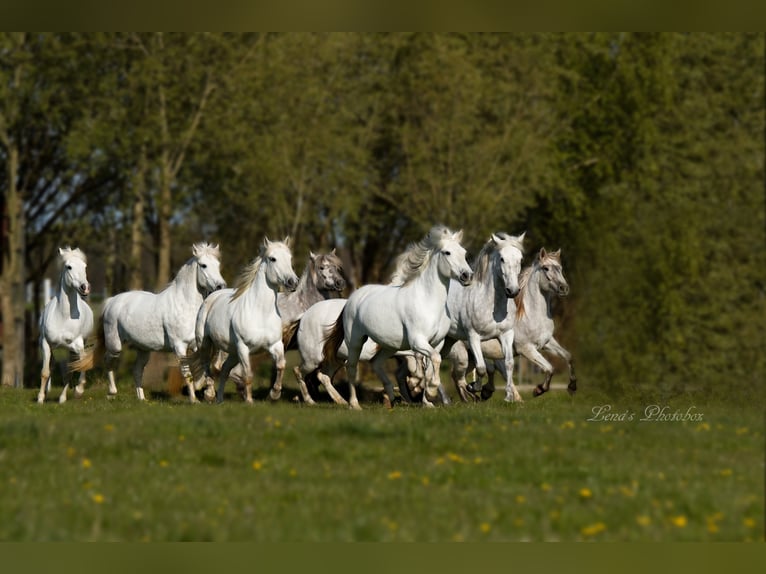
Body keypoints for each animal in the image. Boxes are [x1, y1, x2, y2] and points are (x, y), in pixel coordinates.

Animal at [38, 248, 94, 404]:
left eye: (85, 267)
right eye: (69, 267)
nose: (85, 287)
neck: (63, 317)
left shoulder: (77, 345)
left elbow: (81, 365)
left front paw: (78, 392)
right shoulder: (46, 344)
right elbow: (45, 372)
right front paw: (40, 398)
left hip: (69, 349)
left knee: (67, 372)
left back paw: (63, 398)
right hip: (54, 349)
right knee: (51, 366)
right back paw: (46, 392)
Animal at [192, 238, 300, 404]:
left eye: (289, 258)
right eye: (273, 259)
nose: (292, 282)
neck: (261, 312)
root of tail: (212, 296)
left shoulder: (275, 345)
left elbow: (281, 365)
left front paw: (274, 394)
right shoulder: (244, 348)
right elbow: (248, 375)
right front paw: (249, 401)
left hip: (233, 353)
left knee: (224, 370)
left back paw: (220, 400)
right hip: (205, 343)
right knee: (207, 366)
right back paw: (210, 394)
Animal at [324, 225, 474, 410]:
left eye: (464, 252)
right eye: (447, 252)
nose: (467, 276)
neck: (428, 301)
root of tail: (353, 298)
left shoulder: (435, 344)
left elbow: (430, 368)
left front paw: (427, 402)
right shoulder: (418, 342)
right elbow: (435, 361)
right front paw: (430, 392)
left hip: (389, 345)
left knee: (376, 363)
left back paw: (391, 398)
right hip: (355, 341)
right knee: (351, 368)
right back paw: (354, 404)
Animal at [450, 248, 576, 400]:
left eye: (560, 268)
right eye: (546, 268)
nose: (564, 288)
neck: (531, 315)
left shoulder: (546, 343)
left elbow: (568, 356)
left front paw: (572, 386)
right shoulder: (526, 349)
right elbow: (549, 367)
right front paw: (539, 389)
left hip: (471, 358)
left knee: (464, 375)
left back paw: (477, 394)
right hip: (462, 357)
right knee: (459, 377)